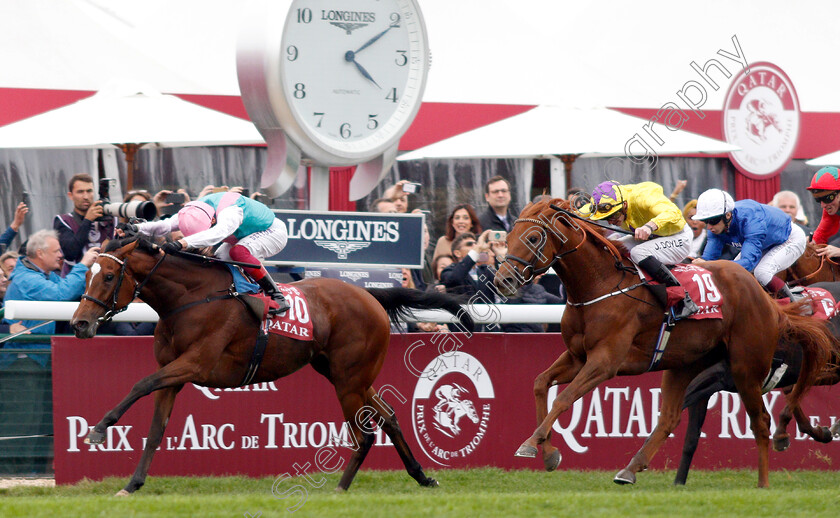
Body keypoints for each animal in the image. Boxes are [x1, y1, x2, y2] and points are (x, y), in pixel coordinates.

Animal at [69, 236, 476, 496]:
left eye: (109, 276)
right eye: (86, 274)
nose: (79, 324)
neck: (191, 298)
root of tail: (369, 294)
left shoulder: (195, 364)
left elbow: (140, 384)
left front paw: (99, 430)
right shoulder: (174, 374)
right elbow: (155, 429)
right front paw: (131, 485)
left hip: (348, 381)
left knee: (365, 434)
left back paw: (340, 489)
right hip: (348, 376)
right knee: (389, 416)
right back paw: (422, 477)